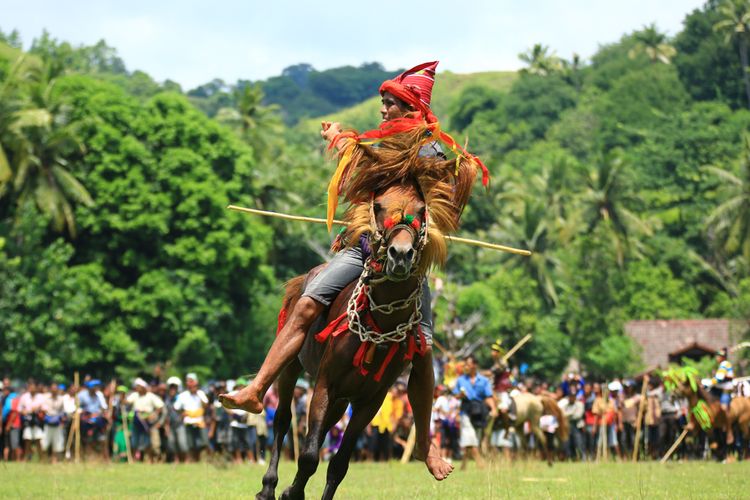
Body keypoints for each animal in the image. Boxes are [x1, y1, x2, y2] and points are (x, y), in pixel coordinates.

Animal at [258, 130, 482, 500]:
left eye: (421, 210)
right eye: (378, 206)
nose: (400, 255)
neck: (380, 326)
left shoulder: (370, 399)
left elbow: (338, 465)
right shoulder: (326, 383)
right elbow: (309, 454)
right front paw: (291, 492)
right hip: (292, 366)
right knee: (280, 422)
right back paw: (268, 485)